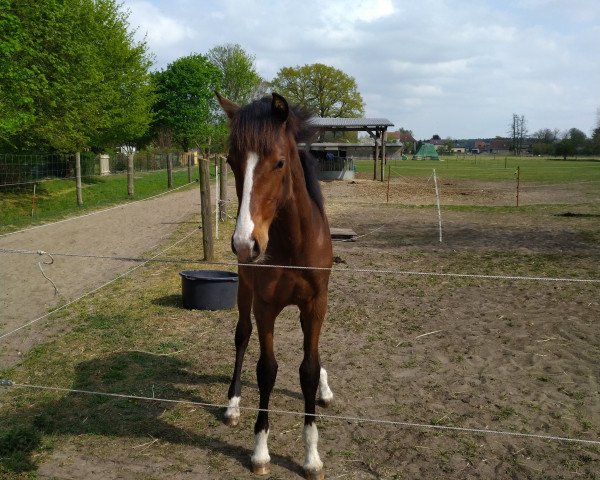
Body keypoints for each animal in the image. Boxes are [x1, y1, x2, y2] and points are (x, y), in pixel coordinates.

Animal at [218, 92, 336, 478]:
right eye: (231, 161)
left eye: (279, 162)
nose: (245, 243)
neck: (292, 245)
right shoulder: (265, 306)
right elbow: (266, 370)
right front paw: (260, 451)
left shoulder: (315, 305)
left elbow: (309, 369)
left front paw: (312, 456)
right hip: (244, 291)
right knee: (242, 336)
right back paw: (233, 404)